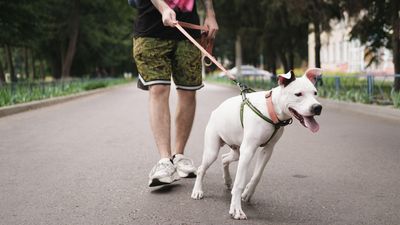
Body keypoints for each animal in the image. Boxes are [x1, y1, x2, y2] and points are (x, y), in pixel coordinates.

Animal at [190, 67, 322, 219]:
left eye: (315, 93)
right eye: (298, 94)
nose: (317, 107)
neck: (271, 109)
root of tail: (216, 110)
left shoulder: (268, 150)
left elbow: (257, 175)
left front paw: (248, 192)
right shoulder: (248, 150)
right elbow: (239, 182)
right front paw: (236, 209)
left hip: (237, 151)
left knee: (224, 159)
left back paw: (227, 180)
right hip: (213, 151)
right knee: (202, 168)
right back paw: (198, 191)